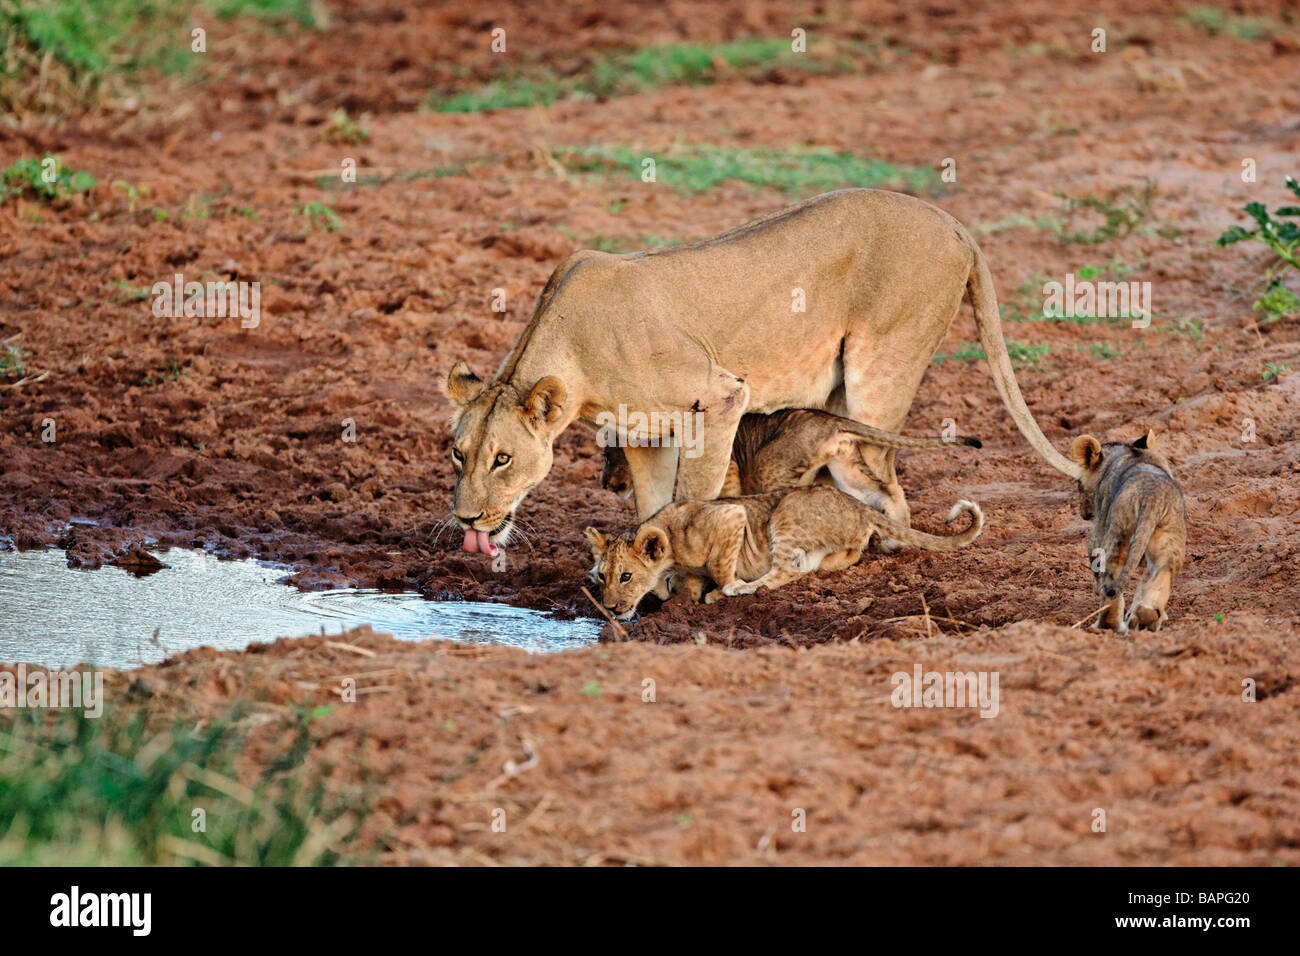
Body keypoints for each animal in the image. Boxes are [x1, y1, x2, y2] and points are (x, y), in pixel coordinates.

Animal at [441, 187, 1081, 556]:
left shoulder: (721, 397)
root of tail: (953, 221)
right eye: (457, 454)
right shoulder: (641, 433)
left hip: (880, 372)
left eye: (503, 459)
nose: (466, 517)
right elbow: (652, 506)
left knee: (889, 485)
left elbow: (692, 497)